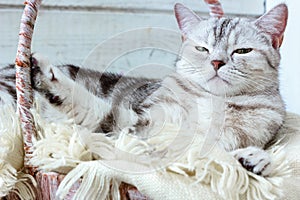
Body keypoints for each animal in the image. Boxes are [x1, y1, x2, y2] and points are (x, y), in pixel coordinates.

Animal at [0, 3, 288, 177]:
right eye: (202, 49)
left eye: (242, 50)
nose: (217, 62)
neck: (213, 101)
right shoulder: (136, 124)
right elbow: (93, 108)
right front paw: (48, 77)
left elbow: (216, 154)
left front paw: (252, 159)